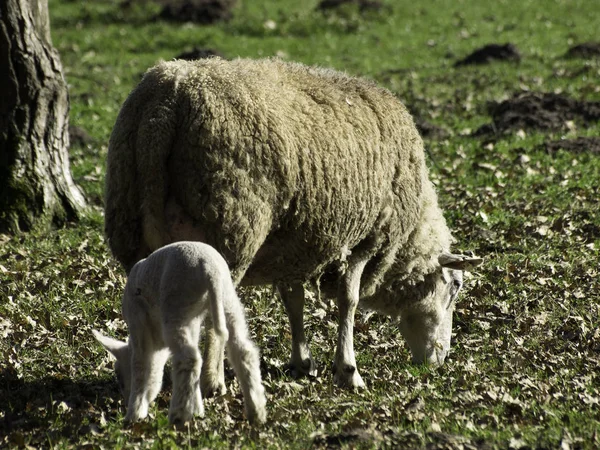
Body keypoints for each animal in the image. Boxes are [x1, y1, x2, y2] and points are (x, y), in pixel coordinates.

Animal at [92, 241, 266, 424]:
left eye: (119, 377)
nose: (124, 402)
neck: (157, 344)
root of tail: (210, 270)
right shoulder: (193, 323)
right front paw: (197, 410)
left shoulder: (137, 321)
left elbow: (140, 366)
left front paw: (134, 414)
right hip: (226, 300)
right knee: (243, 350)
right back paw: (256, 412)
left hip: (176, 305)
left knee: (188, 358)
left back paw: (178, 415)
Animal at [104, 58, 482, 392]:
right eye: (456, 286)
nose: (439, 361)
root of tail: (166, 104)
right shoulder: (363, 240)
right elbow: (349, 301)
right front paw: (348, 370)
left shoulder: (295, 246)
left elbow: (293, 301)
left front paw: (302, 362)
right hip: (230, 230)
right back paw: (214, 382)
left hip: (132, 227)